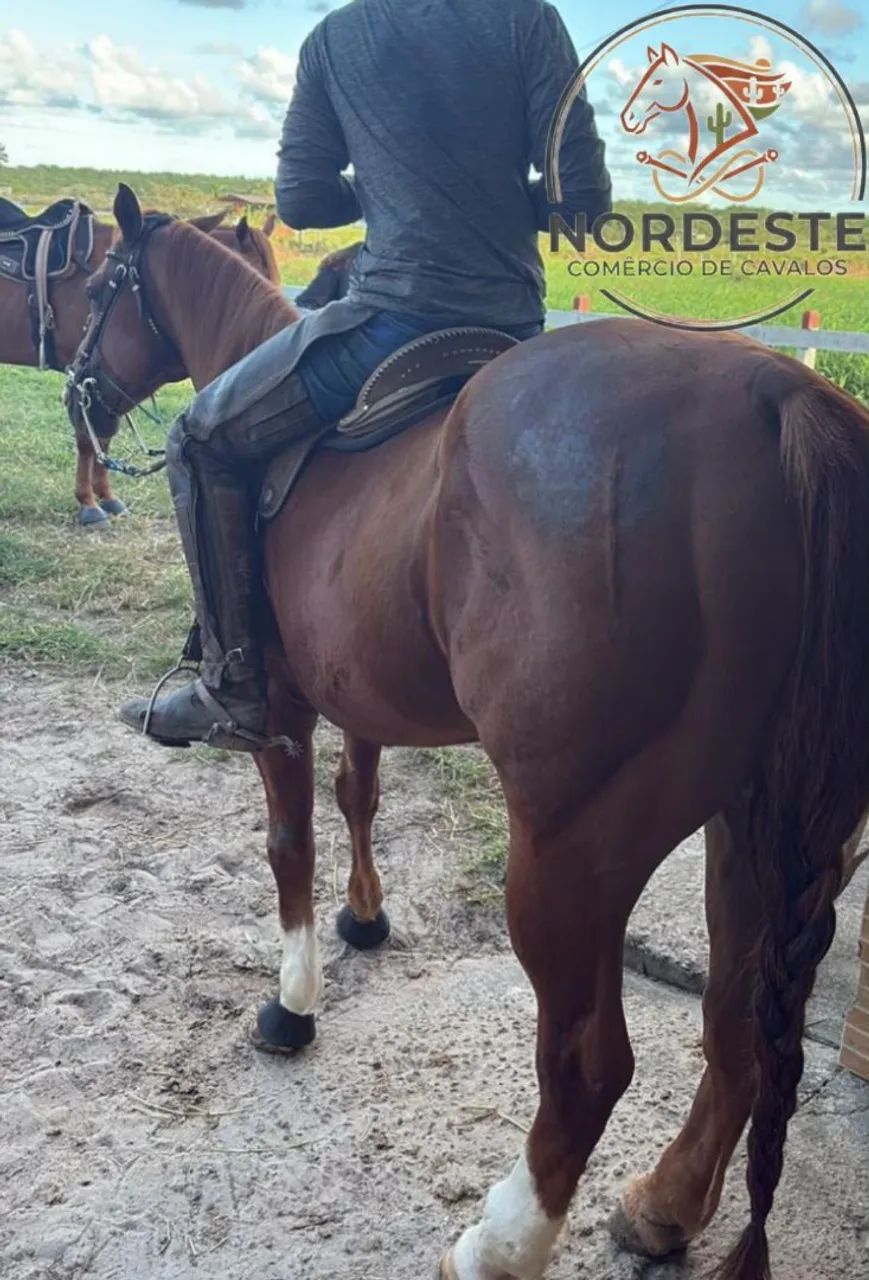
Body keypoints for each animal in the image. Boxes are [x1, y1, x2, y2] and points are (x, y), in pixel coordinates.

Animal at [66, 184, 869, 1280]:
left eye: (104, 283)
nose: (77, 389)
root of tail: (780, 398)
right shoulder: (359, 692)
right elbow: (358, 796)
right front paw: (365, 918)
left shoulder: (281, 714)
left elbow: (289, 845)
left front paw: (293, 1002)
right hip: (756, 828)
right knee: (736, 1026)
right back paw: (664, 1204)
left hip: (569, 850)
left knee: (587, 1062)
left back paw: (503, 1239)